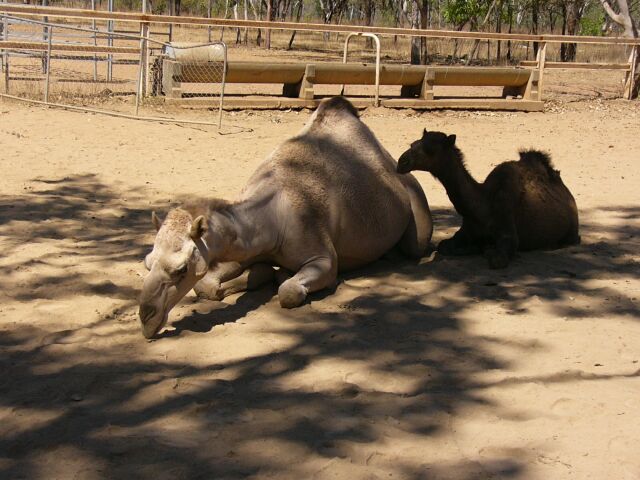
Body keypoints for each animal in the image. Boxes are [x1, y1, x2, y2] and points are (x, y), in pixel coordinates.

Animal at [396, 129, 580, 268]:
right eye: (413, 144)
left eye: (430, 149)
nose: (401, 162)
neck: (483, 205)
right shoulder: (465, 230)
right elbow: (443, 246)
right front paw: (474, 247)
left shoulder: (508, 227)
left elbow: (496, 258)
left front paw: (485, 248)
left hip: (572, 230)